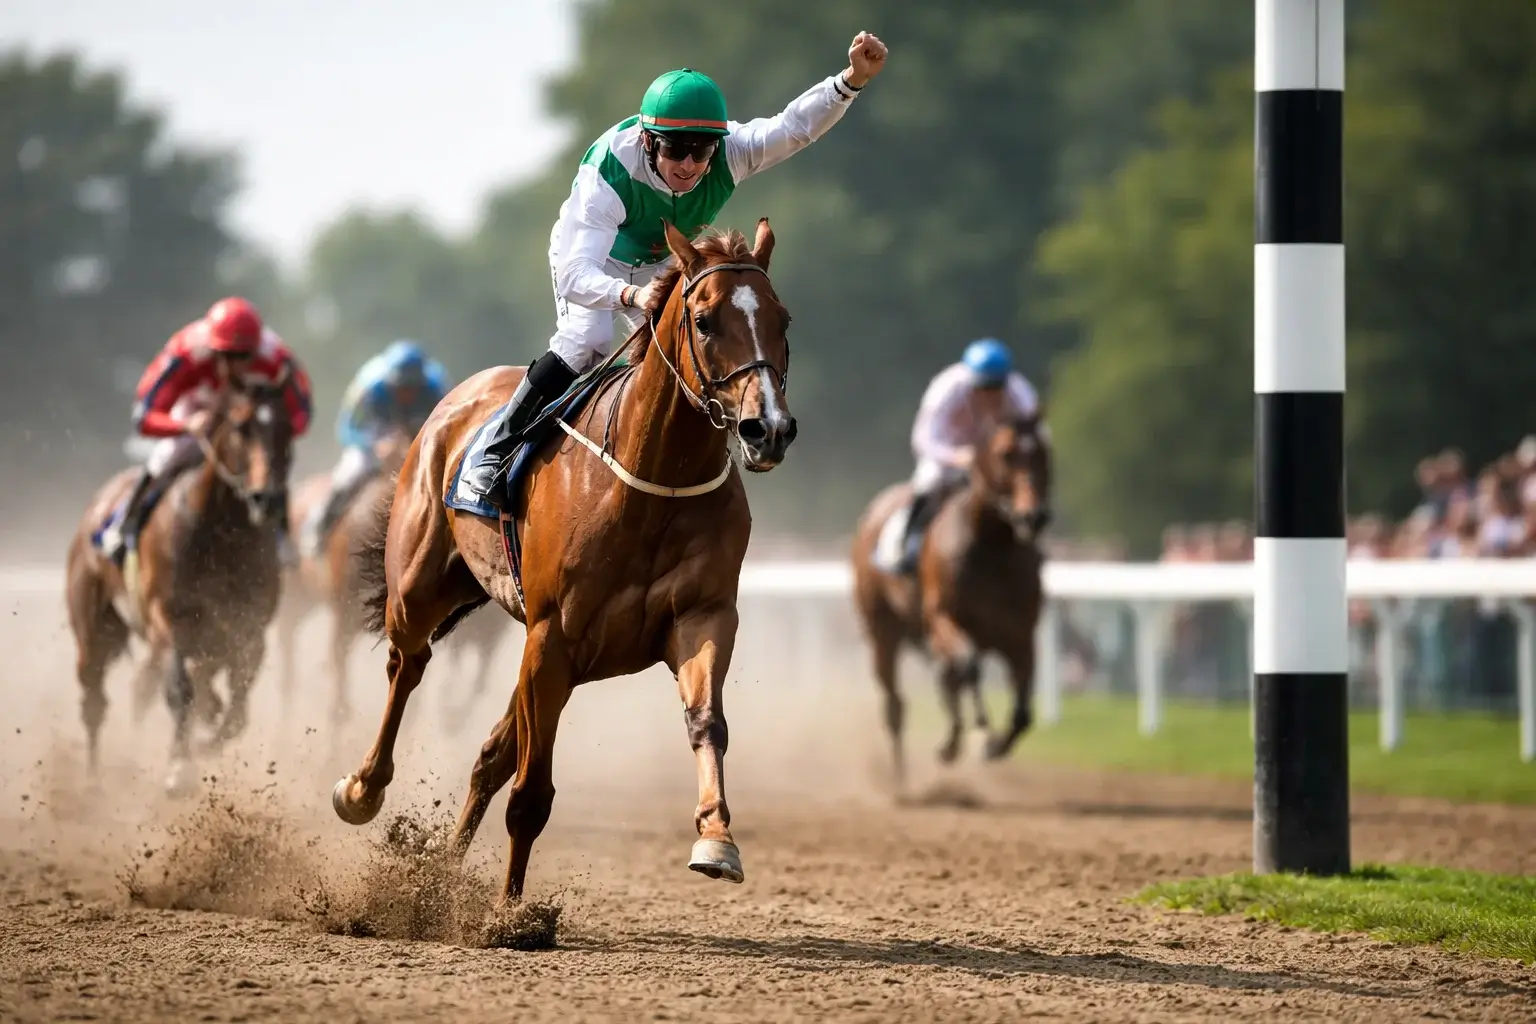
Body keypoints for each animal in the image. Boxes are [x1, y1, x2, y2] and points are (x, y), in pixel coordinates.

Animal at [65, 379, 295, 792]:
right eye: (242, 427)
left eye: (286, 428)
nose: (266, 498)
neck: (222, 530)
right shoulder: (169, 617)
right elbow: (179, 690)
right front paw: (179, 767)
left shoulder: (248, 629)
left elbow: (237, 710)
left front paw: (204, 741)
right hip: (93, 625)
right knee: (94, 700)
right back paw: (92, 783)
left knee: (154, 687)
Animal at [331, 218, 794, 903]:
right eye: (705, 321)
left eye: (783, 320)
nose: (770, 429)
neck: (653, 480)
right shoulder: (553, 636)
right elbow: (530, 796)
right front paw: (509, 913)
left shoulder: (701, 618)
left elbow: (707, 722)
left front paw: (717, 840)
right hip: (421, 587)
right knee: (407, 661)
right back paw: (363, 789)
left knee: (488, 754)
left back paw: (438, 877)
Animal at [849, 413, 1051, 782]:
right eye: (1005, 453)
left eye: (1044, 452)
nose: (1033, 516)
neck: (992, 546)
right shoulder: (943, 619)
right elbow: (969, 668)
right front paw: (982, 733)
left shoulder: (1020, 634)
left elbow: (1022, 711)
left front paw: (993, 744)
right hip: (883, 632)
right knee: (896, 703)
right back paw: (902, 778)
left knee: (946, 680)